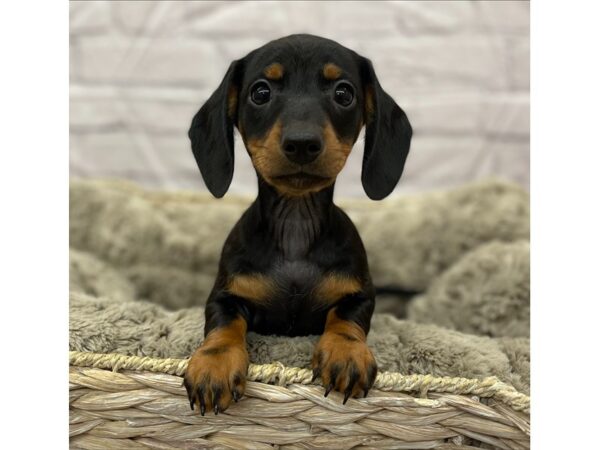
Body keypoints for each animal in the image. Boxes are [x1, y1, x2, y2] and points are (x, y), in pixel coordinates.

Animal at [183, 34, 412, 414]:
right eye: (260, 92)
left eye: (343, 93)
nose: (302, 143)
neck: (295, 226)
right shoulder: (224, 295)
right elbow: (224, 324)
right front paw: (214, 364)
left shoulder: (361, 295)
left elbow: (346, 318)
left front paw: (346, 353)